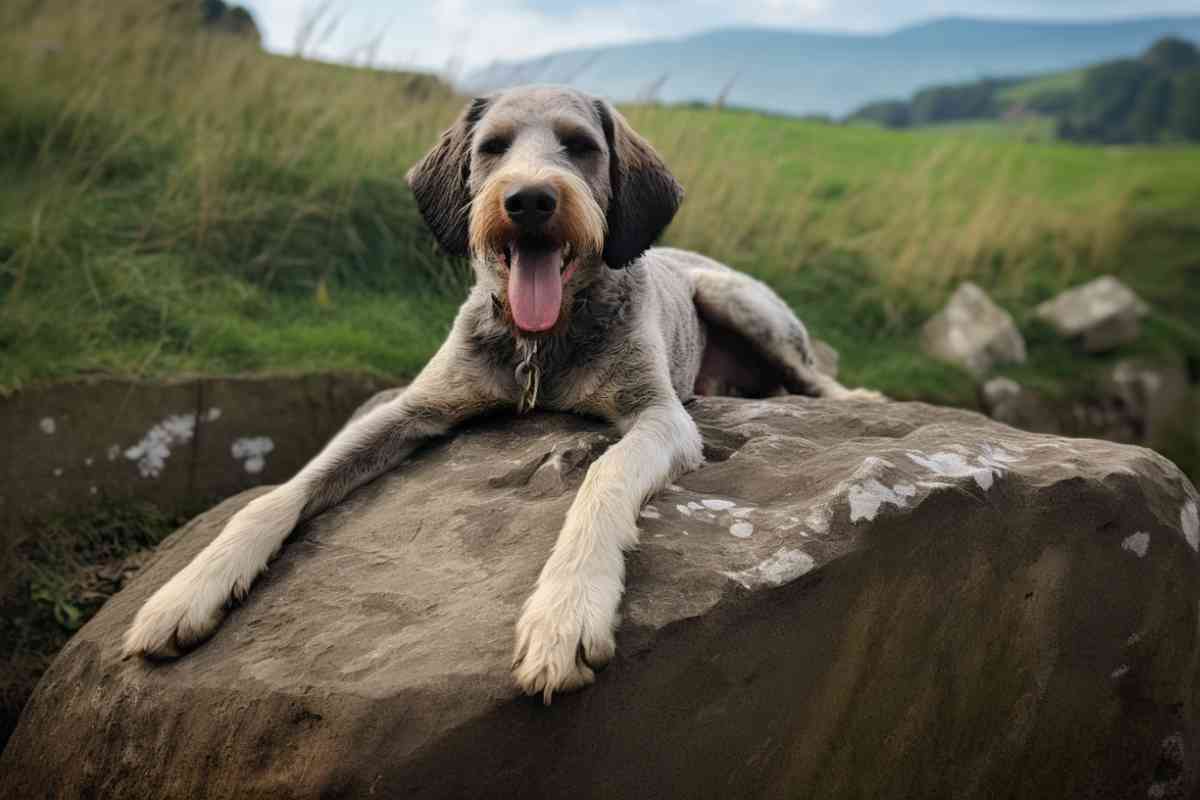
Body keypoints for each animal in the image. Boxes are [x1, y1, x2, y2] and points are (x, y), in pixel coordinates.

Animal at [124, 86, 883, 700]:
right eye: (492, 148)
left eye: (580, 147)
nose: (529, 200)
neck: (540, 345)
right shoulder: (411, 408)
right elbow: (284, 492)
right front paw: (190, 588)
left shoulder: (660, 417)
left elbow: (603, 479)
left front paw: (565, 612)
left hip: (737, 301)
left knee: (814, 377)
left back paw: (858, 401)